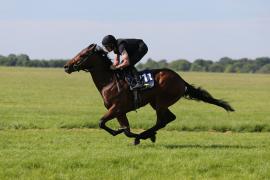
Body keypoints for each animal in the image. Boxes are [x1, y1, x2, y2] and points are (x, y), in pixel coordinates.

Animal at [63, 43, 234, 145]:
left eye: (82, 55)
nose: (66, 66)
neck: (109, 81)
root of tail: (180, 79)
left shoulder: (117, 108)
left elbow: (102, 123)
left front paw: (128, 135)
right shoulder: (120, 111)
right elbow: (125, 130)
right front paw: (126, 133)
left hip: (161, 102)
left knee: (163, 121)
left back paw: (145, 135)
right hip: (157, 103)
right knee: (168, 119)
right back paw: (147, 135)